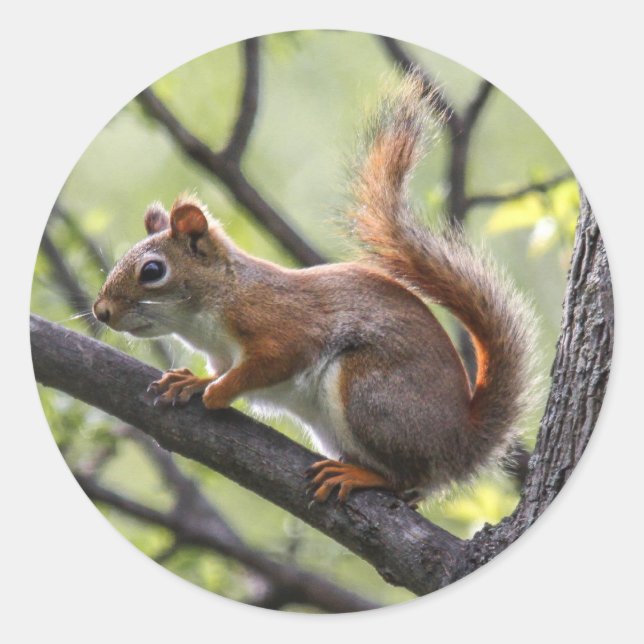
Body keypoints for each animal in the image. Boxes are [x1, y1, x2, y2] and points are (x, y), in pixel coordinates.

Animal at [93, 72, 537, 504]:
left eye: (153, 270)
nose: (101, 311)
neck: (214, 306)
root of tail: (460, 444)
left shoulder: (278, 325)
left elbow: (272, 360)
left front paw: (218, 392)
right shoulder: (221, 353)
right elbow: (220, 368)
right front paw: (193, 382)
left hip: (370, 393)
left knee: (408, 477)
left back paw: (359, 476)